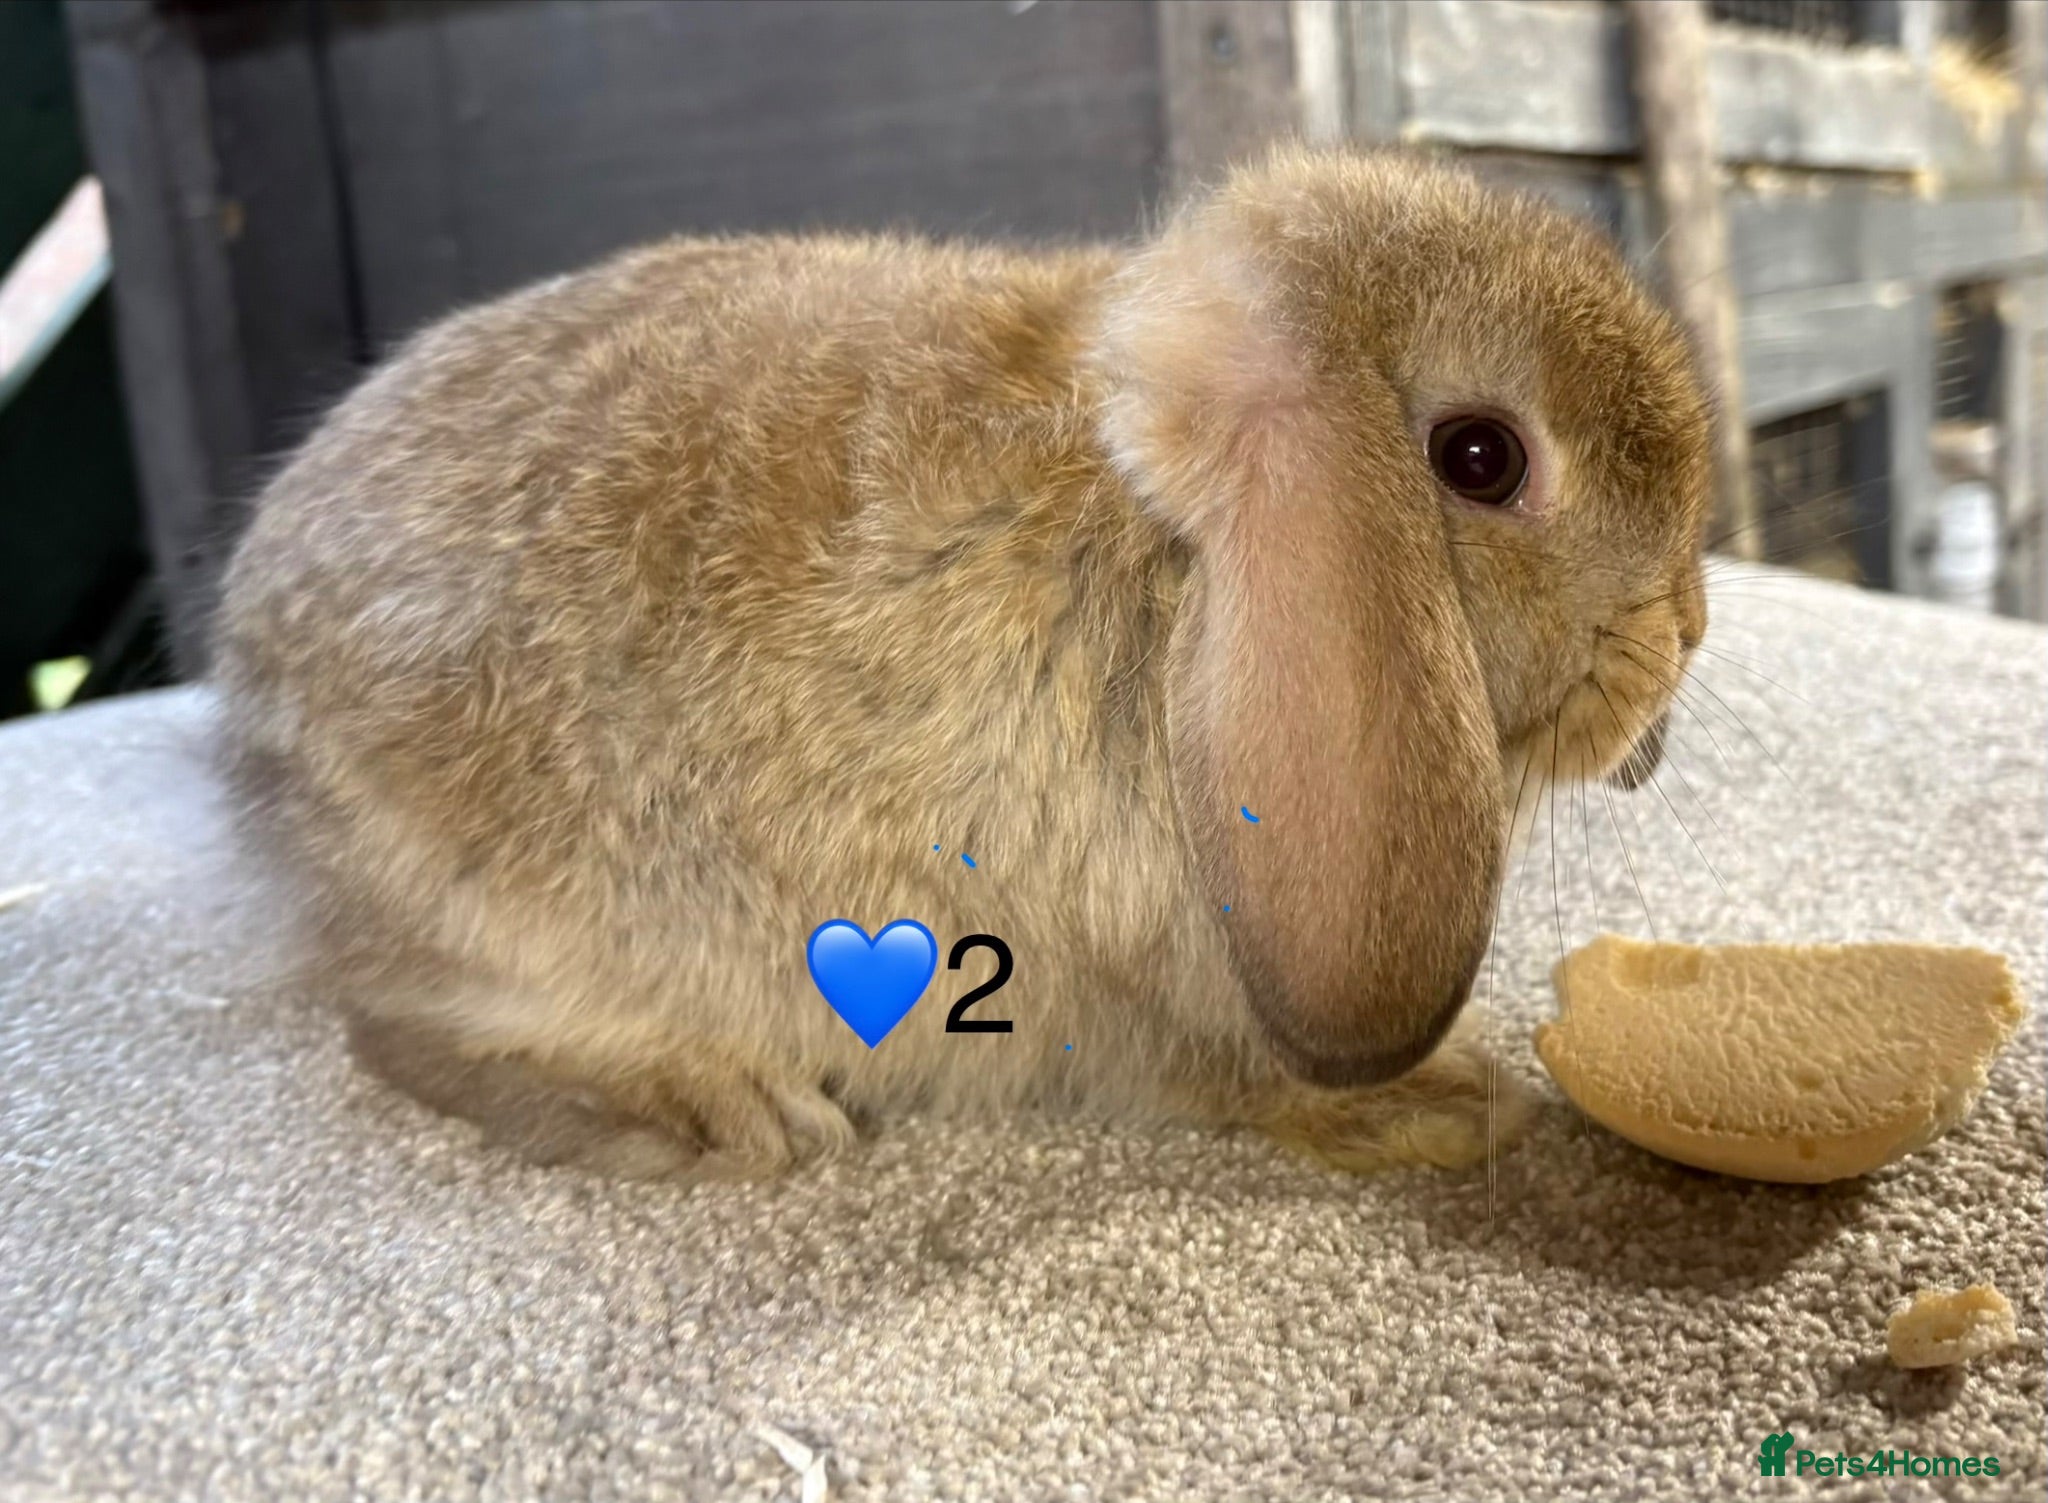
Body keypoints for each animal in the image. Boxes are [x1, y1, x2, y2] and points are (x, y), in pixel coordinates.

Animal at [213, 144, 1711, 1182]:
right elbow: (1248, 1074)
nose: (1682, 632)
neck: (1161, 556)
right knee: (396, 1028)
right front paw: (1459, 1104)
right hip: (493, 916)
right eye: (1482, 458)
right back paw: (704, 1112)